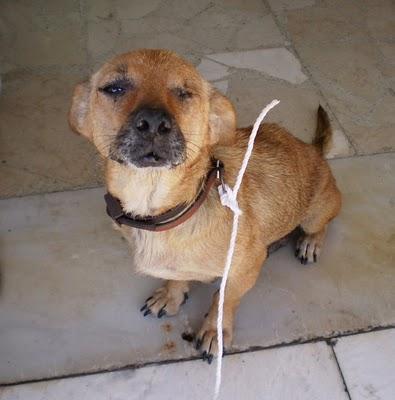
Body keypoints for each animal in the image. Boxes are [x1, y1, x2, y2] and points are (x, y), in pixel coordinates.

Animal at [68, 49, 340, 362]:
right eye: (114, 88)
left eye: (186, 93)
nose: (153, 123)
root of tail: (313, 150)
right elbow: (178, 278)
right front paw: (171, 296)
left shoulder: (243, 270)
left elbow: (225, 298)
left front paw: (215, 332)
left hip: (317, 211)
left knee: (322, 224)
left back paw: (310, 242)